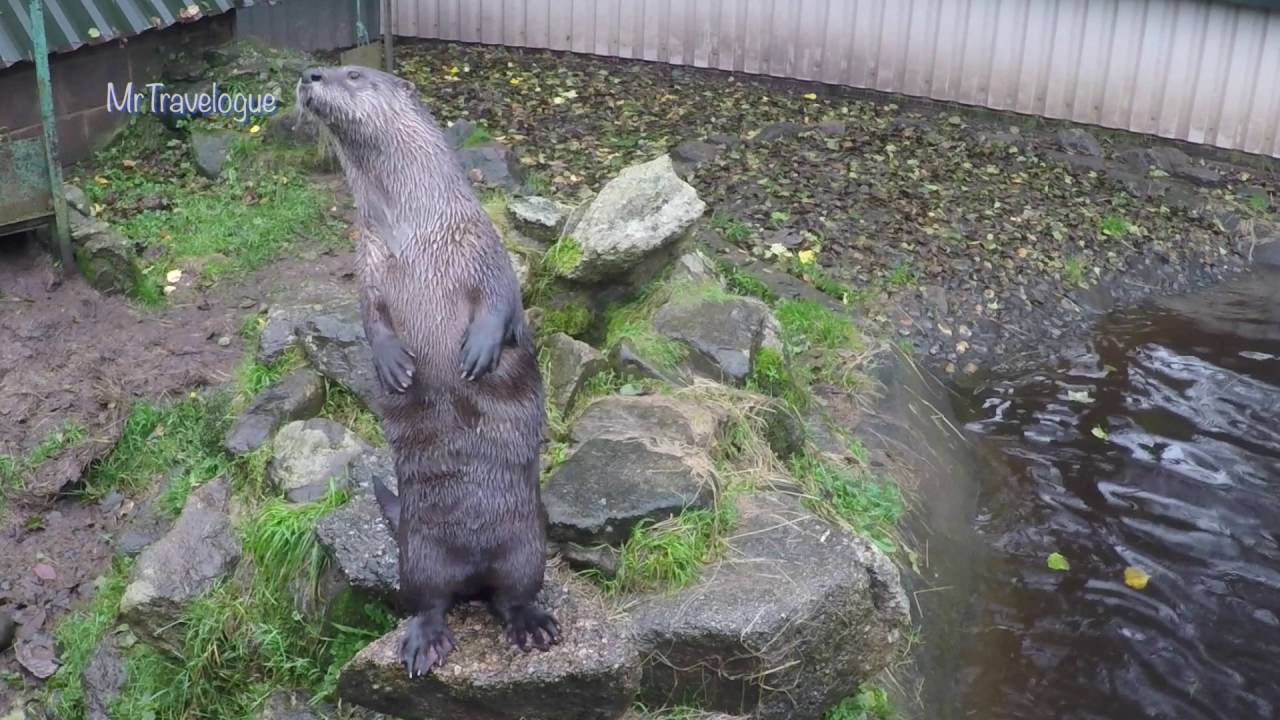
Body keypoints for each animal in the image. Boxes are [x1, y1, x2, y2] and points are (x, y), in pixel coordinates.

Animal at [297, 65, 558, 677]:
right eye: (326, 67)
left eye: (353, 74)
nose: (309, 73)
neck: (413, 233)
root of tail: (474, 569)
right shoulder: (367, 262)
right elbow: (371, 318)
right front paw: (393, 364)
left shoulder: (481, 245)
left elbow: (501, 298)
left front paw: (479, 351)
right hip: (418, 552)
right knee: (428, 600)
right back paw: (425, 640)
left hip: (528, 545)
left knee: (514, 594)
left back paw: (531, 626)